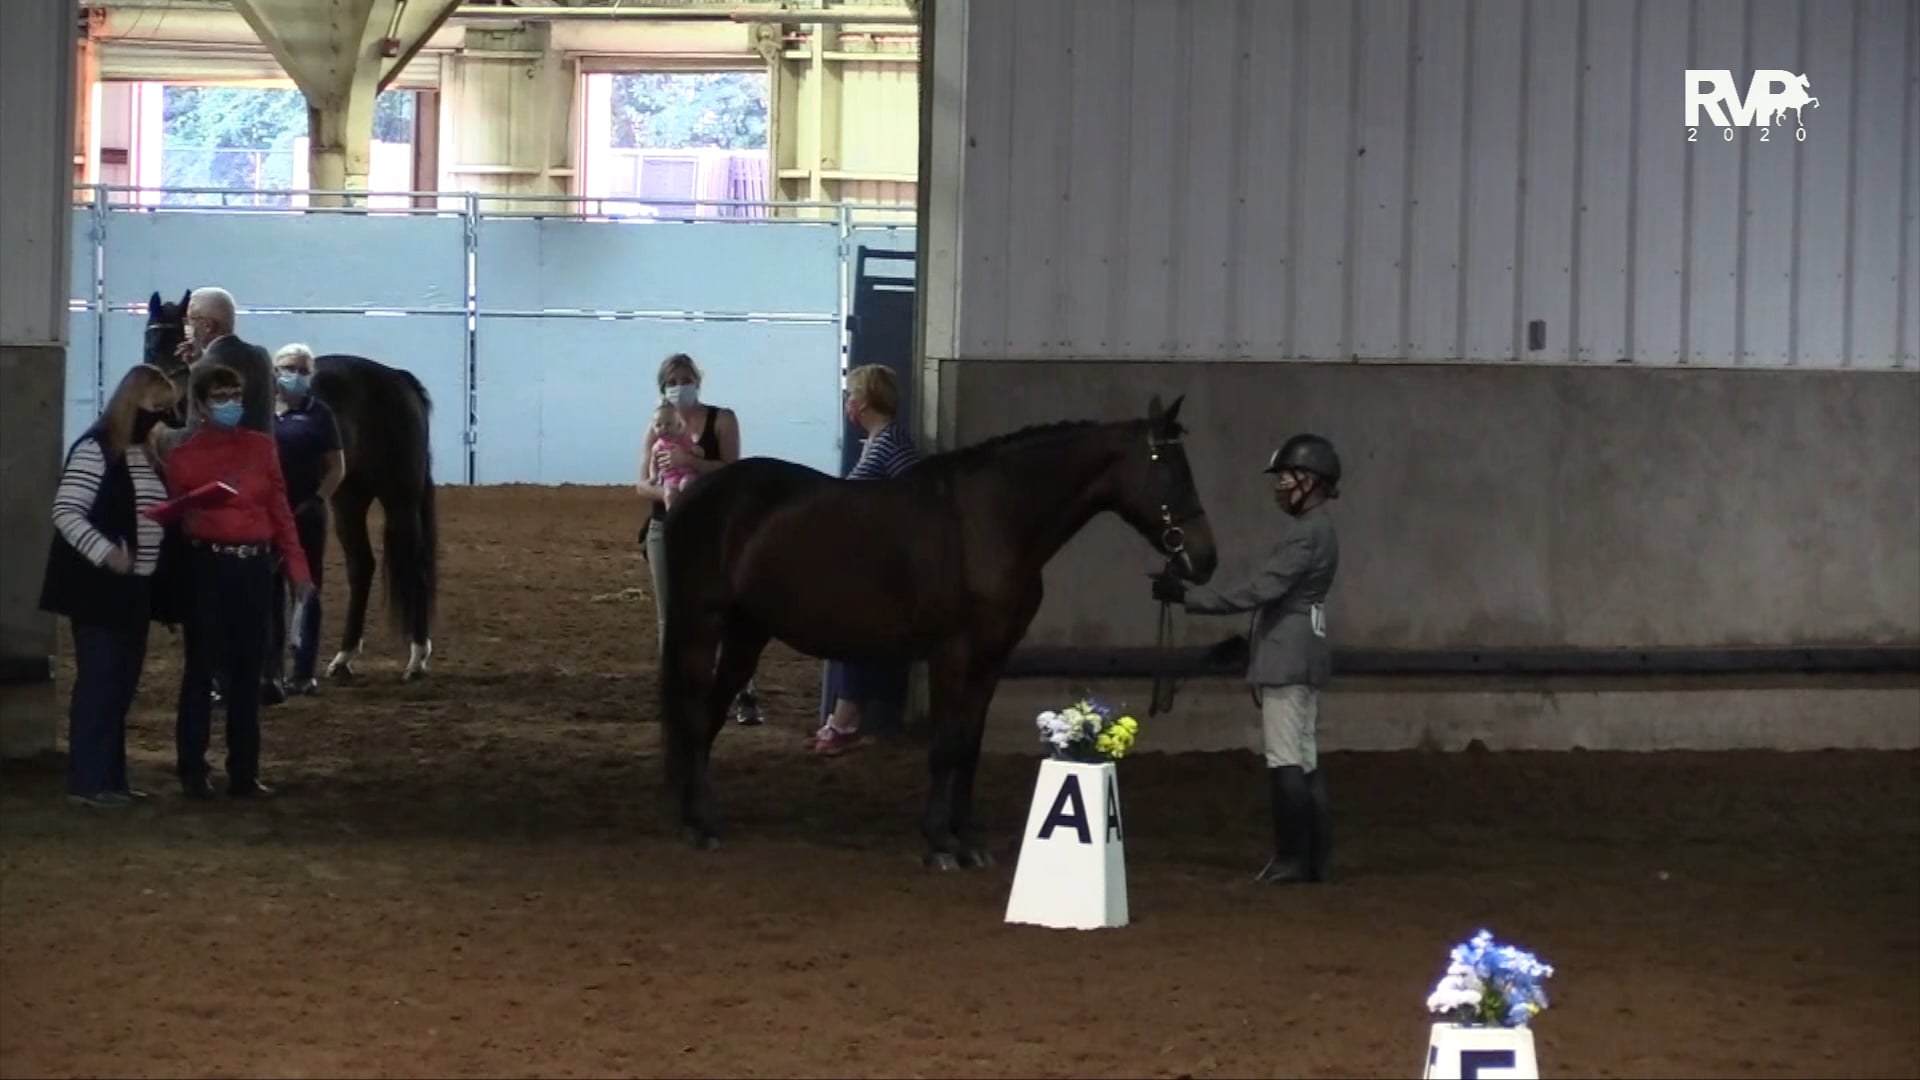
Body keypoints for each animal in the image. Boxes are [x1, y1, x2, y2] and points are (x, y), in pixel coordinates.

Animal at [143, 290, 440, 681]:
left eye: (179, 339)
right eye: (150, 339)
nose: (166, 401)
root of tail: (398, 379)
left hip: (400, 498)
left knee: (415, 565)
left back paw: (417, 657)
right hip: (349, 498)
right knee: (361, 565)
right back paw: (342, 658)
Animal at [658, 392, 1220, 870]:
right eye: (1170, 470)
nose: (1205, 558)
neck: (993, 521)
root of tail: (695, 494)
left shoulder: (993, 657)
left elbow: (969, 744)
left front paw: (966, 838)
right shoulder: (952, 652)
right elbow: (946, 743)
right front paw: (939, 844)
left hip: (747, 633)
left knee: (708, 716)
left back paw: (696, 816)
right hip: (701, 627)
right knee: (694, 713)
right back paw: (699, 825)